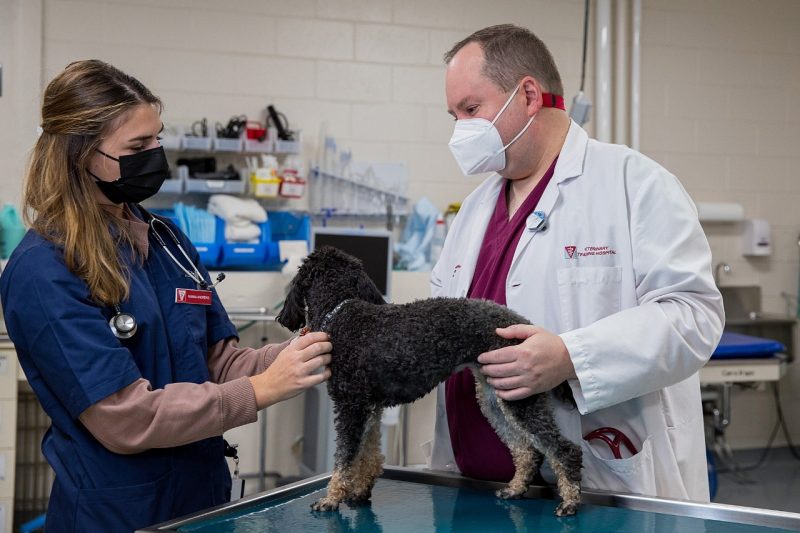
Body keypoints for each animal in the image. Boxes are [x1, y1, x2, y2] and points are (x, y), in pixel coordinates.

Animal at [278, 246, 584, 516]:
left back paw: (569, 502)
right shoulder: (370, 408)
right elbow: (369, 452)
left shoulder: (350, 406)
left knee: (565, 450)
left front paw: (331, 498)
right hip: (496, 394)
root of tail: (525, 324)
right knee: (527, 450)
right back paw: (516, 489)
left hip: (521, 394)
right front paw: (360, 492)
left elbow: (345, 458)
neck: (341, 314)